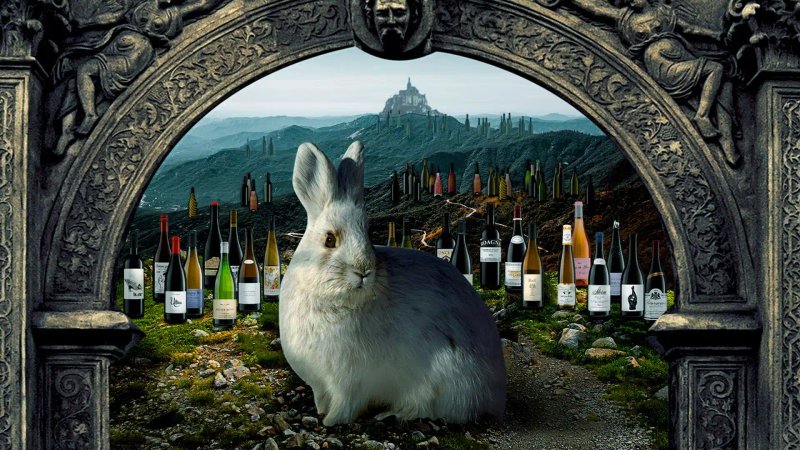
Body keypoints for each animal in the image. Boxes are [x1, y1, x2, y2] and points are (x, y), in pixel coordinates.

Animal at [279, 140, 506, 426]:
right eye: (329, 240)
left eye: (367, 233)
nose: (364, 270)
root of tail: (496, 394)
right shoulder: (319, 382)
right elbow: (321, 396)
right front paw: (320, 413)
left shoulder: (349, 381)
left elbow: (345, 404)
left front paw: (330, 422)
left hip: (446, 378)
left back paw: (390, 413)